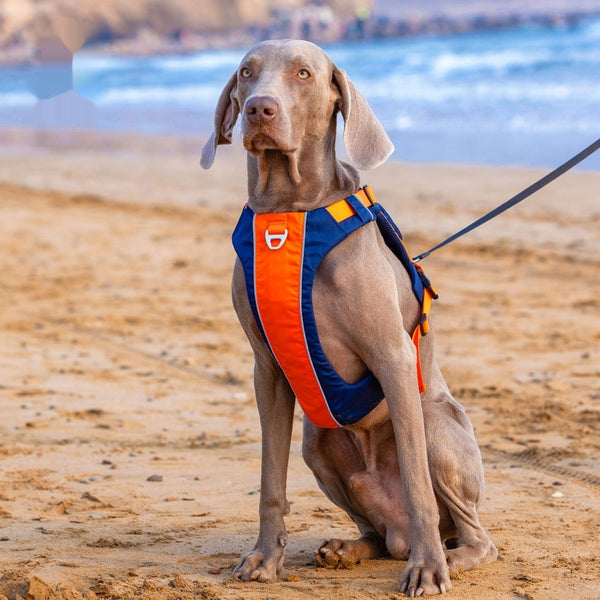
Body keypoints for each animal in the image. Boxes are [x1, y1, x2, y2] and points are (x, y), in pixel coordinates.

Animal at [202, 39, 496, 596]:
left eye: (303, 74)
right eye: (247, 73)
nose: (259, 109)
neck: (289, 210)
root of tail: (398, 532)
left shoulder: (393, 356)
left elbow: (419, 486)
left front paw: (428, 570)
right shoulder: (266, 368)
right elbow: (270, 480)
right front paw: (264, 557)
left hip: (434, 424)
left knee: (474, 536)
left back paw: (443, 557)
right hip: (318, 443)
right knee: (378, 533)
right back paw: (349, 549)